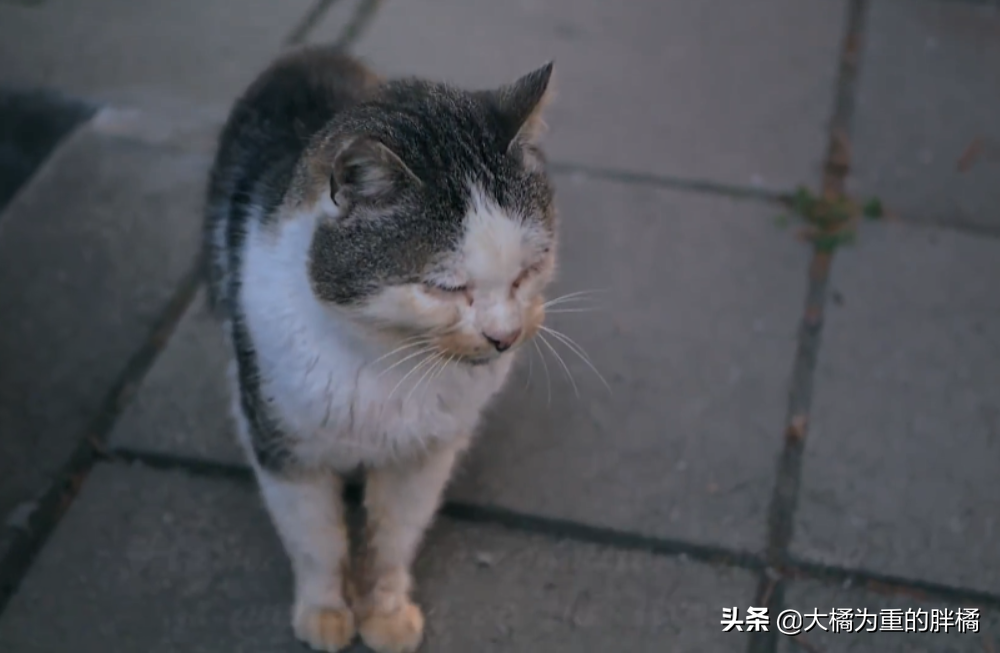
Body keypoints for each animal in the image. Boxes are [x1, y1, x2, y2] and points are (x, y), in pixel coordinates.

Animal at [201, 45, 564, 652]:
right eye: (445, 287)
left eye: (528, 271)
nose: (505, 336)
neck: (386, 359)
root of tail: (312, 52)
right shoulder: (285, 447)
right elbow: (316, 538)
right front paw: (325, 612)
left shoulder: (424, 455)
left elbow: (395, 535)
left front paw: (386, 613)